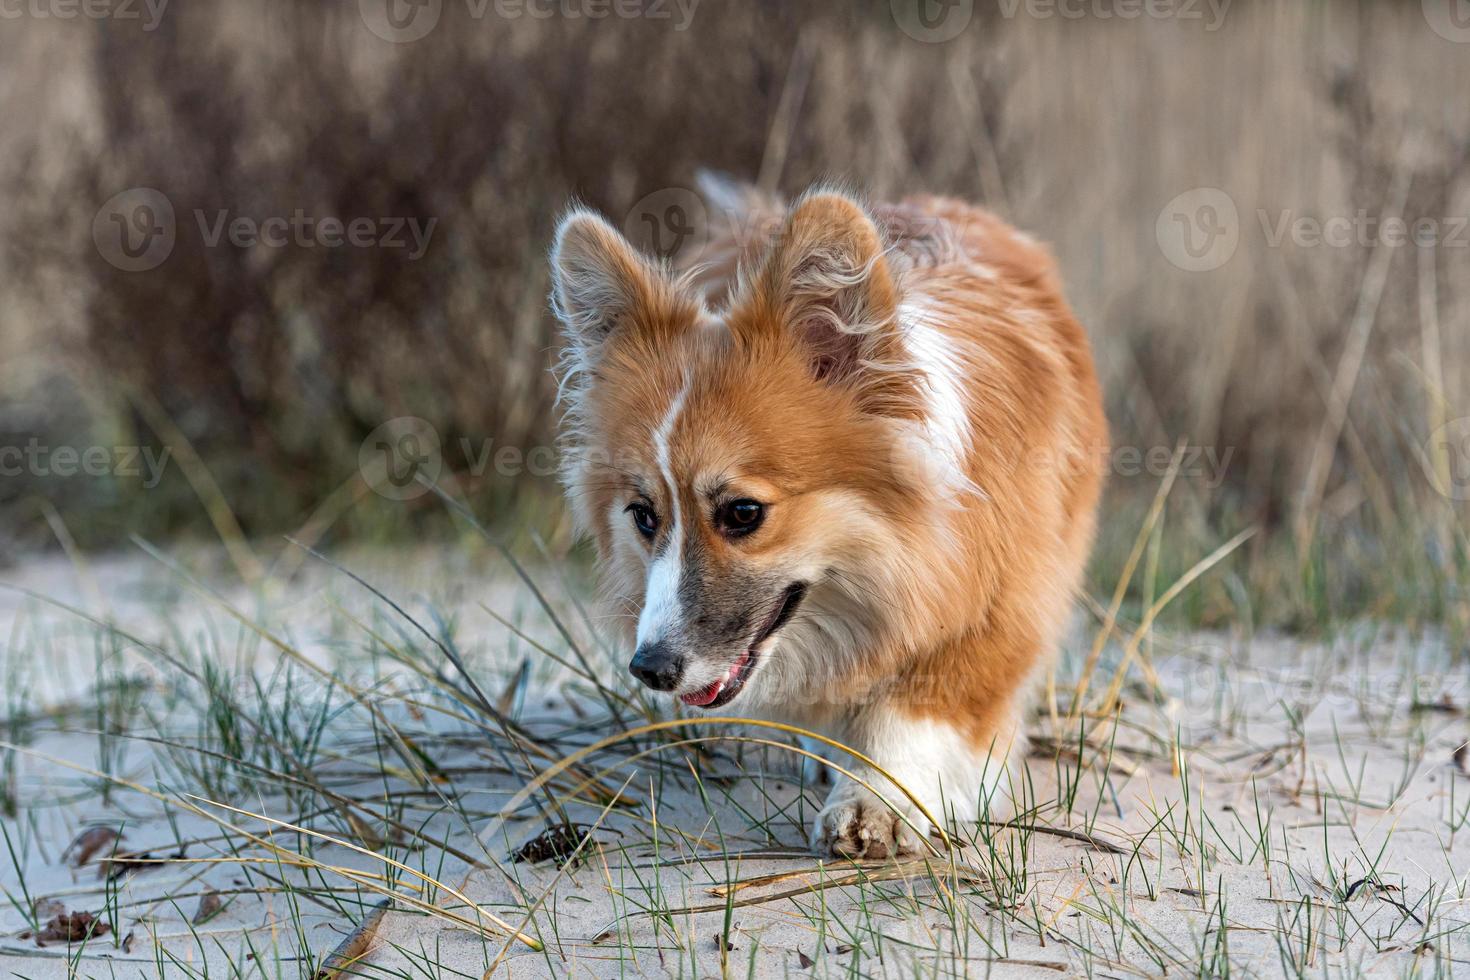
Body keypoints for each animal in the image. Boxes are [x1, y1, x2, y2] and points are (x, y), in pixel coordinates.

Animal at [552, 178, 1105, 858]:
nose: (650, 670)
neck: (906, 545)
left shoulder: (1003, 605)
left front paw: (880, 799)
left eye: (743, 513)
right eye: (644, 516)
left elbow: (920, 707)